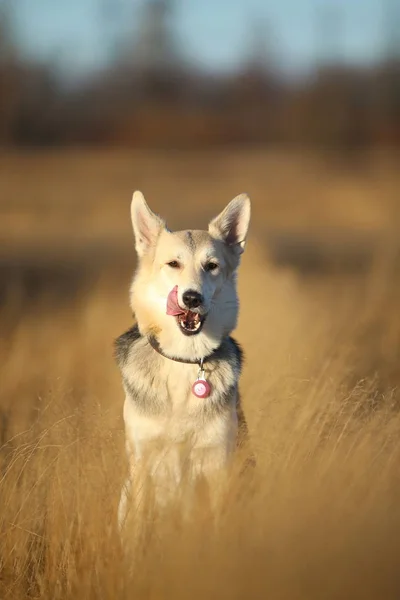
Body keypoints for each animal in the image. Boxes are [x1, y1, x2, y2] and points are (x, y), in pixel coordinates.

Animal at [114, 190, 252, 532]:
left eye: (211, 265)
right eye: (173, 264)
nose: (191, 298)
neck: (184, 361)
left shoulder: (217, 465)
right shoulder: (143, 466)